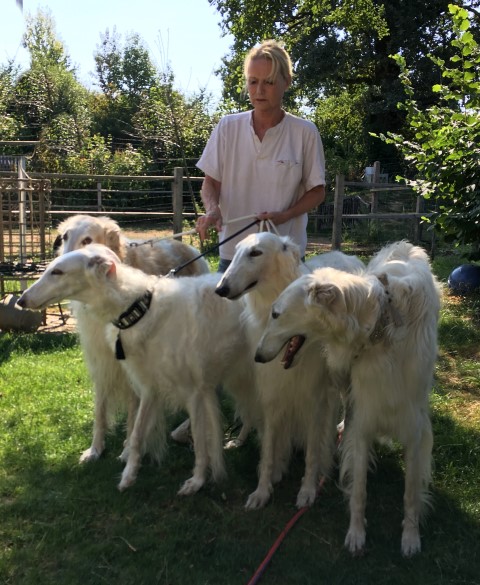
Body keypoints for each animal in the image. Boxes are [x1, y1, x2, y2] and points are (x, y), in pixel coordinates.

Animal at [18, 244, 257, 494]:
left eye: (57, 272)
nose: (21, 300)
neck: (141, 309)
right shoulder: (149, 387)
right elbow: (136, 434)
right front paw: (128, 476)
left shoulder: (194, 391)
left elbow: (201, 444)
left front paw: (197, 481)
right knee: (249, 411)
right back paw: (238, 440)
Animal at [55, 214, 210, 463]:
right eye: (65, 237)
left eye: (87, 240)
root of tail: (188, 246)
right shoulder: (102, 361)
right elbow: (100, 410)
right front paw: (95, 449)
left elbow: (133, 412)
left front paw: (128, 449)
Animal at [215, 231, 364, 509]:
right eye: (236, 250)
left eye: (255, 252)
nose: (221, 289)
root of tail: (344, 254)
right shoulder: (272, 392)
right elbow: (269, 446)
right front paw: (263, 488)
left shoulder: (315, 398)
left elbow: (313, 452)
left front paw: (307, 489)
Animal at [255, 240, 442, 556]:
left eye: (276, 314)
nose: (256, 356)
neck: (381, 325)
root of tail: (403, 245)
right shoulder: (363, 418)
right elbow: (359, 489)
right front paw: (356, 534)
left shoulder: (414, 428)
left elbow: (411, 493)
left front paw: (410, 537)